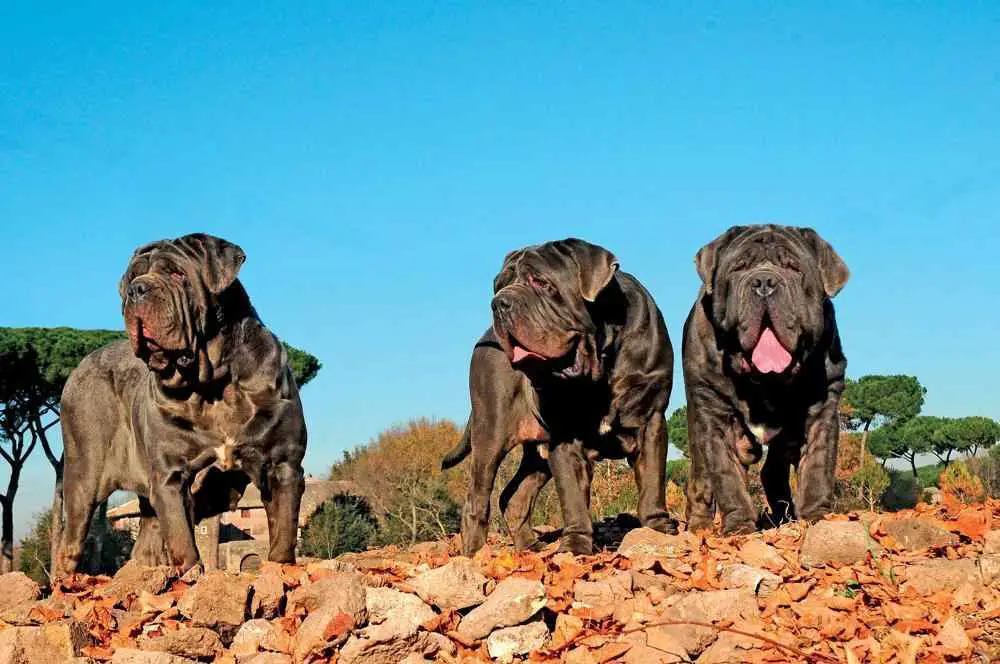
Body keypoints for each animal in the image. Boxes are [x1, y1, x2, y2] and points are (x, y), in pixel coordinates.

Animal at [53, 233, 304, 576]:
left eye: (176, 273)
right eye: (132, 278)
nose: (136, 290)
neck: (214, 384)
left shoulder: (283, 465)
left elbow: (283, 533)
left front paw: (279, 571)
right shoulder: (170, 477)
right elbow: (183, 541)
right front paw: (192, 576)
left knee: (145, 544)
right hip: (83, 475)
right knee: (71, 541)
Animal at [444, 239, 672, 556]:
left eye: (541, 282)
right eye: (498, 285)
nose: (499, 303)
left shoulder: (650, 420)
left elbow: (652, 480)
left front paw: (657, 528)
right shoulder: (565, 437)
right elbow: (572, 496)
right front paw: (575, 545)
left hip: (536, 454)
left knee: (514, 496)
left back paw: (531, 547)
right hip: (490, 433)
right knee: (478, 499)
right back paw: (475, 555)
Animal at [684, 224, 848, 536]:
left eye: (793, 268)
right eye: (738, 268)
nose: (764, 282)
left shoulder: (821, 410)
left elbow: (818, 468)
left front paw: (817, 517)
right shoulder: (715, 415)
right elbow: (727, 477)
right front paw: (739, 528)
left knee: (773, 470)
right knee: (703, 480)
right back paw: (699, 526)